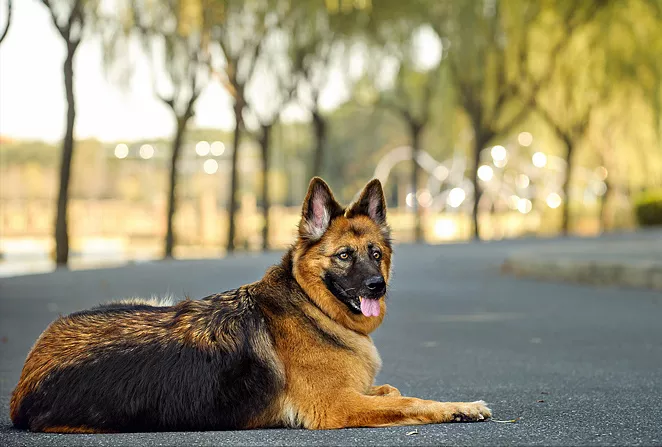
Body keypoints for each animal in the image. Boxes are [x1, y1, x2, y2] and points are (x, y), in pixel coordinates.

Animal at [7, 178, 490, 434]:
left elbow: (391, 390)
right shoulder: (338, 407)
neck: (308, 306)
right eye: (343, 256)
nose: (377, 287)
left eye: (376, 253)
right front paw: (460, 407)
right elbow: (409, 400)